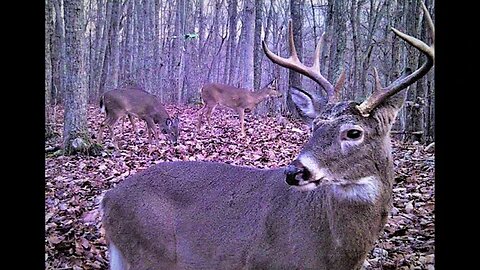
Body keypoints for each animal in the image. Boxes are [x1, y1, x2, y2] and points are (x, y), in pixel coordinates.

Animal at [101, 1, 436, 268]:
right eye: (314, 127)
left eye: (353, 132)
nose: (294, 171)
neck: (334, 254)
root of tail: (107, 198)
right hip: (152, 253)